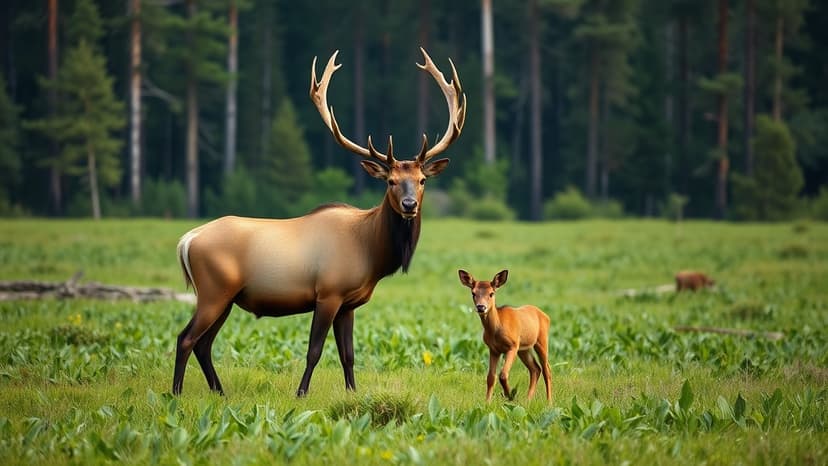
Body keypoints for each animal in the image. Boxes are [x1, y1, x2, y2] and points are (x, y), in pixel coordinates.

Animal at [173, 48, 466, 397]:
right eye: (391, 181)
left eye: (422, 180)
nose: (409, 205)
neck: (372, 252)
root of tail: (187, 240)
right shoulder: (328, 293)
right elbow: (314, 351)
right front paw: (301, 393)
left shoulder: (349, 304)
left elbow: (348, 355)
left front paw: (352, 393)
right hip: (214, 291)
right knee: (186, 338)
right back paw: (176, 392)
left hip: (226, 297)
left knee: (203, 344)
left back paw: (219, 392)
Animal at [458, 269, 552, 403]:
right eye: (473, 293)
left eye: (491, 293)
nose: (481, 307)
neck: (496, 329)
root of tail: (546, 315)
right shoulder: (494, 349)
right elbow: (490, 377)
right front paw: (487, 402)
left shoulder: (512, 346)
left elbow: (503, 374)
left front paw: (510, 395)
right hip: (524, 349)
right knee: (535, 369)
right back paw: (527, 400)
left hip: (541, 341)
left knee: (546, 370)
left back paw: (549, 402)